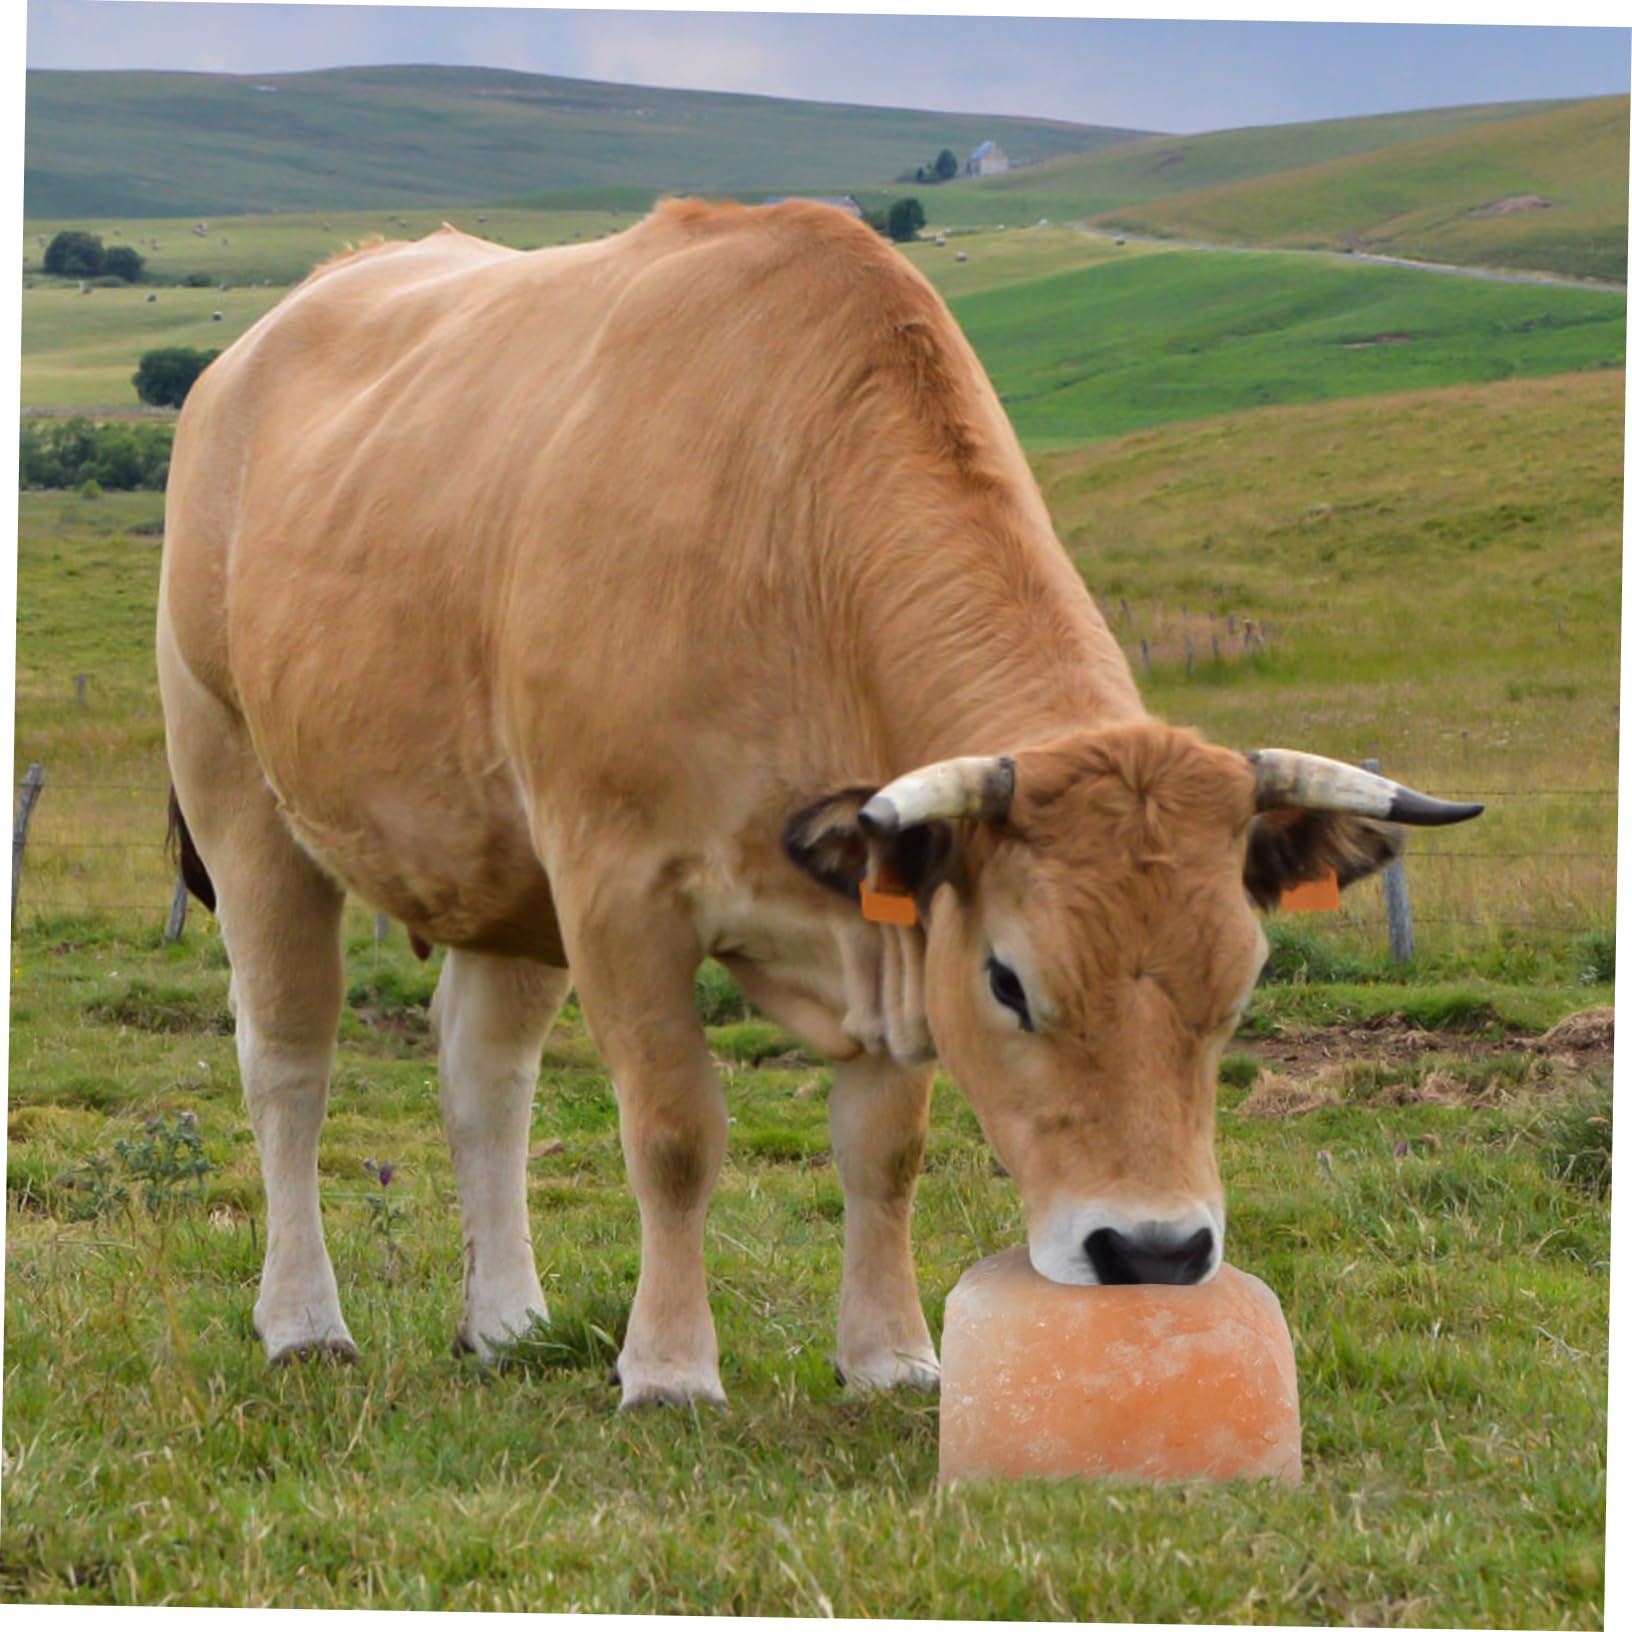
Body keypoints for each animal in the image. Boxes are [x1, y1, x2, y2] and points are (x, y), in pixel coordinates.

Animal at [157, 199, 1480, 1408]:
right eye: (1011, 982)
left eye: (1242, 983)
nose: (1153, 1253)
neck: (789, 543)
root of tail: (277, 323)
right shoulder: (618, 889)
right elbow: (675, 1137)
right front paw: (670, 1369)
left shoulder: (886, 913)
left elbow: (884, 1155)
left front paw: (890, 1357)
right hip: (243, 796)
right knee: (289, 1062)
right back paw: (305, 1322)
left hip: (497, 866)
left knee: (484, 1076)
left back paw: (508, 1323)